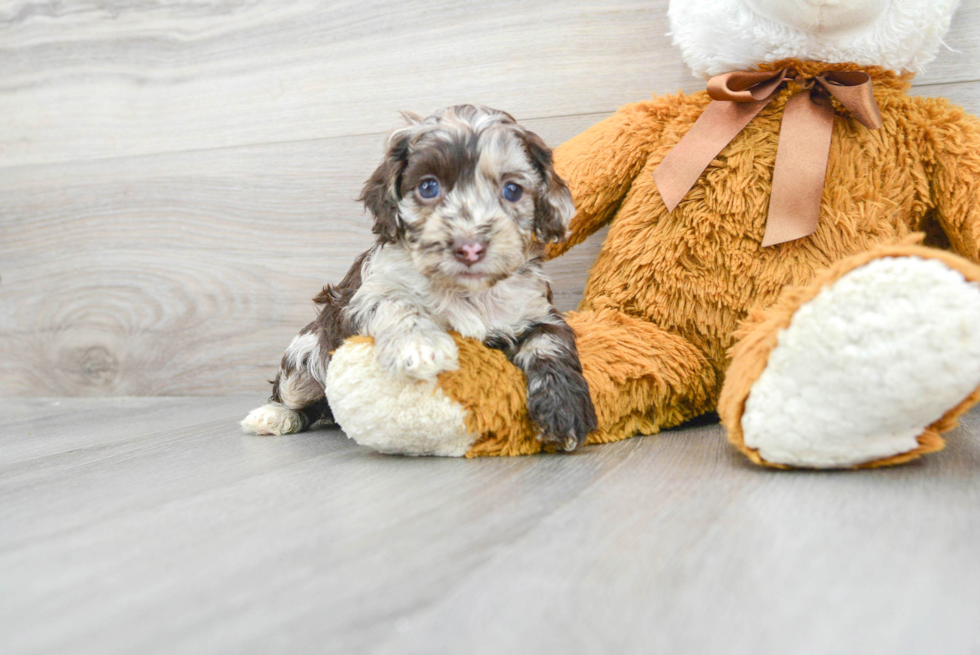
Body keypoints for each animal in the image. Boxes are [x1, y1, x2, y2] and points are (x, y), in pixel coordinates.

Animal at [245, 105, 596, 454]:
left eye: (512, 190)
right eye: (429, 187)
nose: (470, 247)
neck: (466, 291)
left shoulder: (535, 309)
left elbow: (549, 344)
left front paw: (564, 407)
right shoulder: (362, 299)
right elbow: (396, 303)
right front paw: (420, 345)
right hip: (306, 350)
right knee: (295, 394)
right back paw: (273, 416)